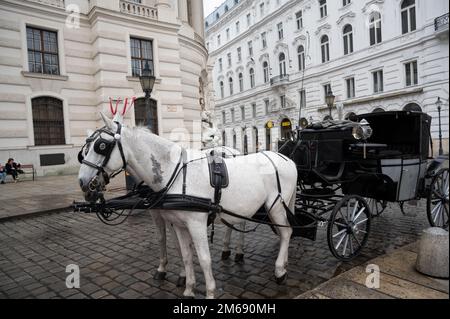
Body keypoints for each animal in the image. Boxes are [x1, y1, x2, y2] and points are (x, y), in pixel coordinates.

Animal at [78, 113, 298, 300]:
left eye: (101, 146)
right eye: (84, 151)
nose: (83, 182)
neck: (173, 174)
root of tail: (287, 159)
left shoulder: (196, 223)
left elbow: (203, 258)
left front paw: (209, 292)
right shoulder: (177, 223)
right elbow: (184, 254)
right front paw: (188, 288)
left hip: (276, 207)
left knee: (286, 233)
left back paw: (280, 270)